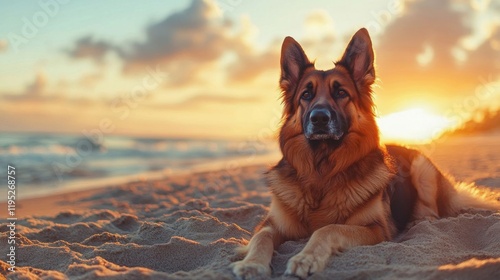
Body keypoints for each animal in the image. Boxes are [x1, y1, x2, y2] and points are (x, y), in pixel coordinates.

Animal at [232, 27, 498, 278]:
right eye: (306, 95)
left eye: (341, 93)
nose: (319, 118)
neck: (322, 171)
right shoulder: (270, 225)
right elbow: (261, 238)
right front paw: (251, 264)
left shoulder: (376, 228)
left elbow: (327, 228)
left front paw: (305, 258)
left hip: (422, 169)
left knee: (431, 210)